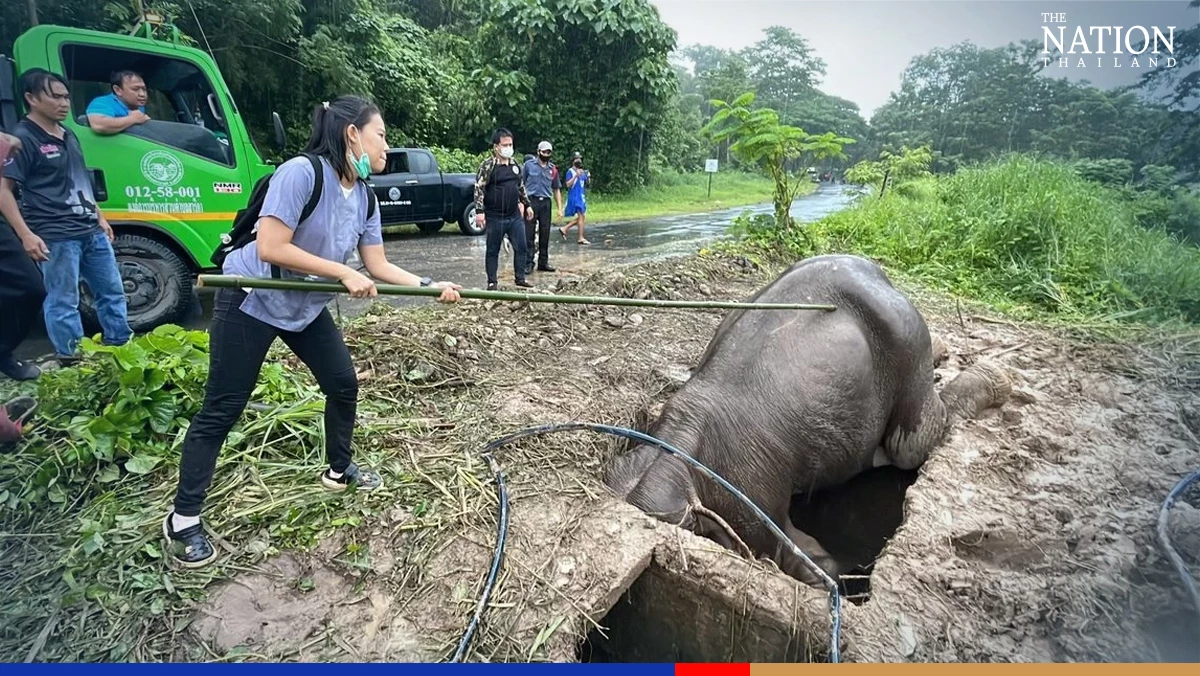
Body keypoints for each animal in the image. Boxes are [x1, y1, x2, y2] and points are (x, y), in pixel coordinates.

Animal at [604, 254, 1011, 587]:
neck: (670, 451)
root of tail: (871, 267)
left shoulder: (751, 500)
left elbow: (793, 549)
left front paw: (824, 569)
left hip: (907, 340)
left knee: (912, 442)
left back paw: (997, 376)